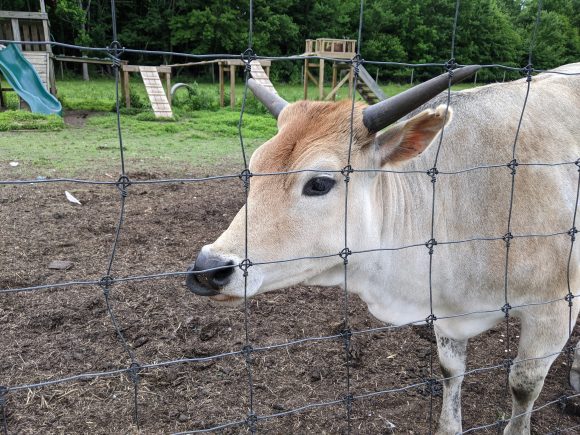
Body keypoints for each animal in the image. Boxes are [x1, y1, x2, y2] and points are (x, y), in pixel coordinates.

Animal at [186, 63, 580, 434]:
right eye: (254, 168)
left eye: (319, 183)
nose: (208, 268)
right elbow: (450, 370)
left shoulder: (553, 310)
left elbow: (523, 385)